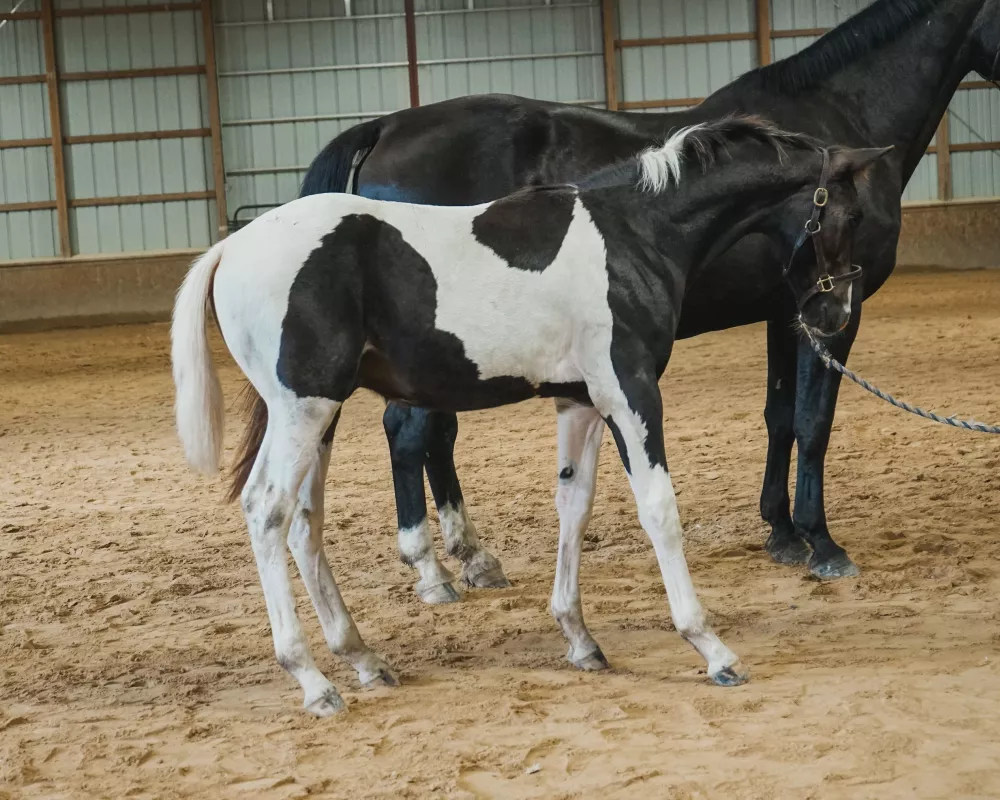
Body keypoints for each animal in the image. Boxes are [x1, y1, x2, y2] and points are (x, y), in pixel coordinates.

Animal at [172, 115, 892, 716]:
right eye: (850, 214)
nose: (832, 316)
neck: (635, 232)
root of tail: (230, 250)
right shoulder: (630, 391)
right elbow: (659, 508)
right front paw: (711, 648)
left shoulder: (580, 398)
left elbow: (574, 504)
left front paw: (580, 639)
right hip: (305, 409)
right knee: (267, 511)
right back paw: (314, 681)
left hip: (317, 417)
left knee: (304, 523)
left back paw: (363, 659)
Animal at [238, 0, 1000, 588]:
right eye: (841, 217)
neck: (841, 111)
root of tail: (387, 126)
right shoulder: (832, 311)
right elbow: (814, 424)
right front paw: (823, 543)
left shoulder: (792, 313)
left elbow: (781, 417)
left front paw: (782, 533)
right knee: (413, 432)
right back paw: (440, 566)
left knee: (430, 436)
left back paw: (471, 557)